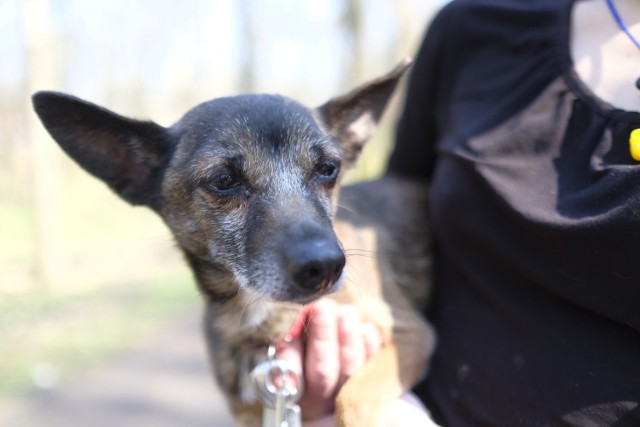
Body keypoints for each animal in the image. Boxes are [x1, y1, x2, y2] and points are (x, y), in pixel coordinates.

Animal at [33, 60, 436, 427]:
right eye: (224, 180)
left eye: (328, 169)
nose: (325, 267)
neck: (265, 326)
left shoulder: (412, 335)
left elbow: (350, 399)